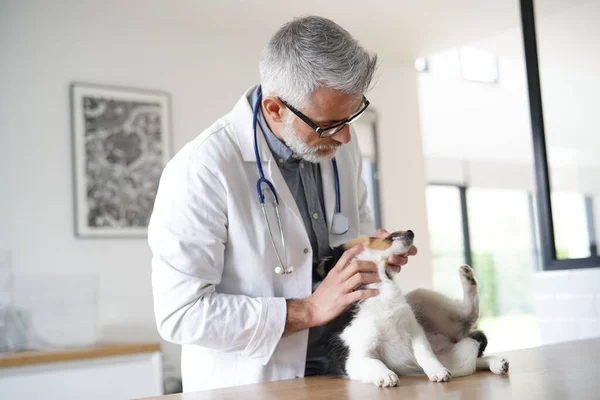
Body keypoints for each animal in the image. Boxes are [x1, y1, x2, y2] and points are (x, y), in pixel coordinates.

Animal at [316, 231, 508, 388]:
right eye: (372, 237)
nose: (410, 231)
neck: (380, 287)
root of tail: (454, 340)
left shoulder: (415, 330)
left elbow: (425, 353)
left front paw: (437, 371)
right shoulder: (354, 358)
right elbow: (375, 363)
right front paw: (386, 376)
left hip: (421, 296)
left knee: (467, 318)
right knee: (473, 354)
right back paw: (496, 363)